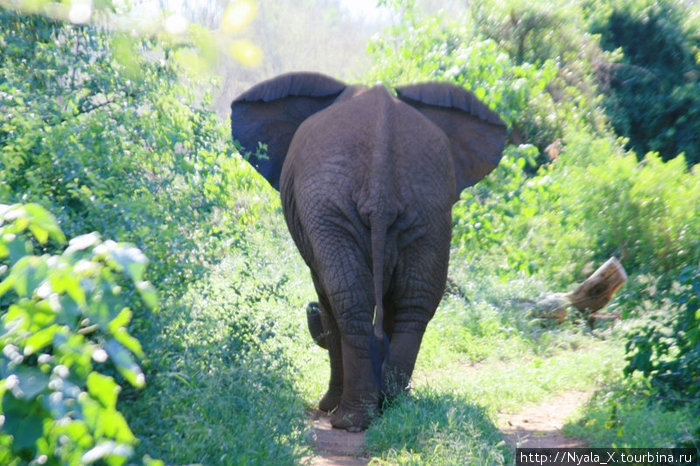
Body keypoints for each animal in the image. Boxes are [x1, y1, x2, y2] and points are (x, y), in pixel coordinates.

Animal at [232, 71, 506, 432]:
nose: (307, 310)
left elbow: (326, 297)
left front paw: (326, 406)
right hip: (427, 205)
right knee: (414, 301)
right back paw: (393, 405)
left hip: (330, 207)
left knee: (349, 298)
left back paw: (349, 420)